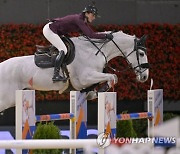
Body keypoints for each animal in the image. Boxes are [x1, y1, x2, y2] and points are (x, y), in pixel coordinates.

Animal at [0, 30, 149, 111]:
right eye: (141, 53)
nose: (145, 77)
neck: (93, 50)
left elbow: (110, 78)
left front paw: (91, 93)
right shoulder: (85, 78)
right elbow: (112, 77)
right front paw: (97, 91)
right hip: (6, 99)